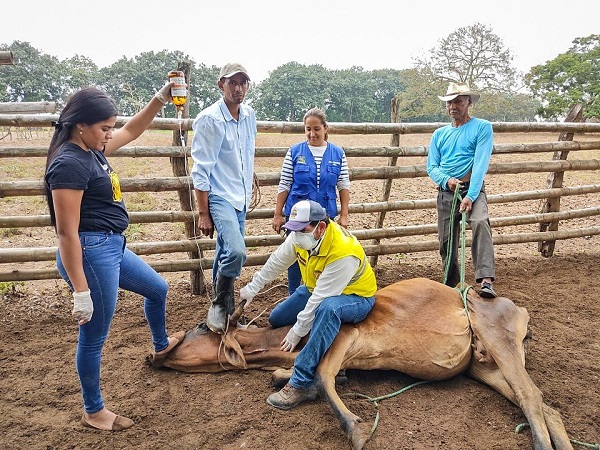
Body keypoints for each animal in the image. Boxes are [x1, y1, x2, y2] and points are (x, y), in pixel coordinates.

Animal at [148, 278, 568, 450]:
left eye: (200, 327)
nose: (153, 355)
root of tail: (516, 306)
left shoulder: (343, 338)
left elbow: (322, 376)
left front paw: (357, 428)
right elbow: (304, 375)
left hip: (498, 338)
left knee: (531, 396)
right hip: (481, 366)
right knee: (543, 405)